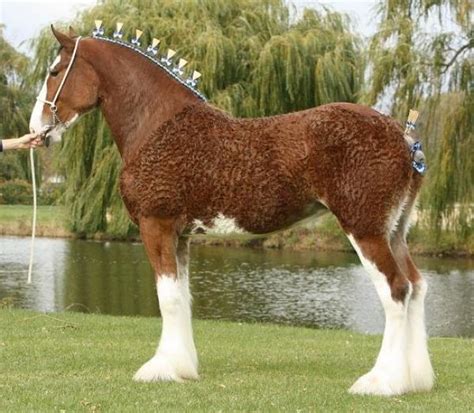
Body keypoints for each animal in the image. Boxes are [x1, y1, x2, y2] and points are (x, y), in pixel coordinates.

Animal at [28, 27, 434, 394]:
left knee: (396, 290)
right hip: (394, 231)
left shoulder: (156, 226)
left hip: (364, 229)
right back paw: (415, 381)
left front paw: (160, 369)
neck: (158, 125)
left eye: (54, 71)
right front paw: (183, 367)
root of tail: (403, 136)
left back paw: (380, 382)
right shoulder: (181, 236)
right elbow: (183, 297)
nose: (37, 128)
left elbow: (168, 299)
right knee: (416, 286)